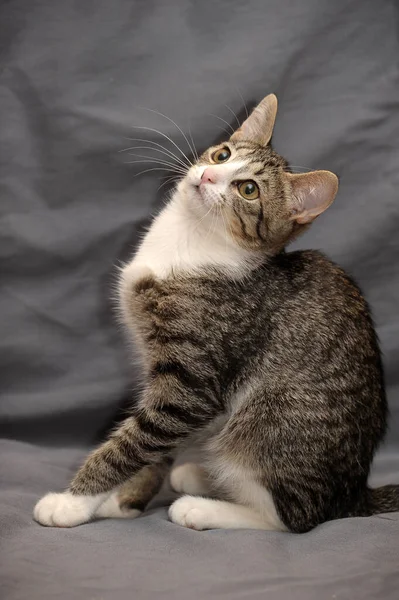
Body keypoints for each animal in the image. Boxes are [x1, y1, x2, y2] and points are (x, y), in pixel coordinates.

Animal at [32, 91, 398, 532]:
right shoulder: (160, 372)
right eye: (222, 154)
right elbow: (151, 442)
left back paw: (201, 506)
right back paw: (199, 476)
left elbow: (135, 440)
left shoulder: (192, 382)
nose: (207, 176)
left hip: (268, 419)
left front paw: (73, 502)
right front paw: (124, 499)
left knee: (293, 517)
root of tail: (353, 493)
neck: (189, 241)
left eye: (248, 189)